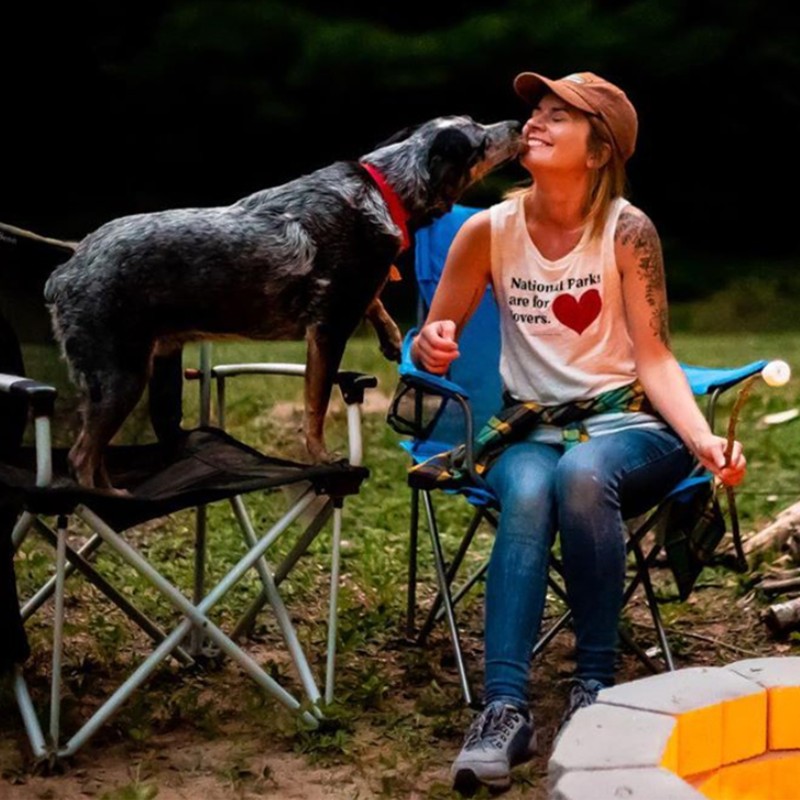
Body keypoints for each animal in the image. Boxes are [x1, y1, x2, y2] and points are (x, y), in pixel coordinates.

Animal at [43, 111, 520, 488]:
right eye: (479, 139)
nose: (516, 123)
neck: (385, 192)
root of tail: (66, 270)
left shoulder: (351, 298)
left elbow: (375, 297)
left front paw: (388, 334)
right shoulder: (328, 330)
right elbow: (316, 404)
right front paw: (322, 457)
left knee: (94, 454)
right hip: (121, 376)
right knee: (81, 457)